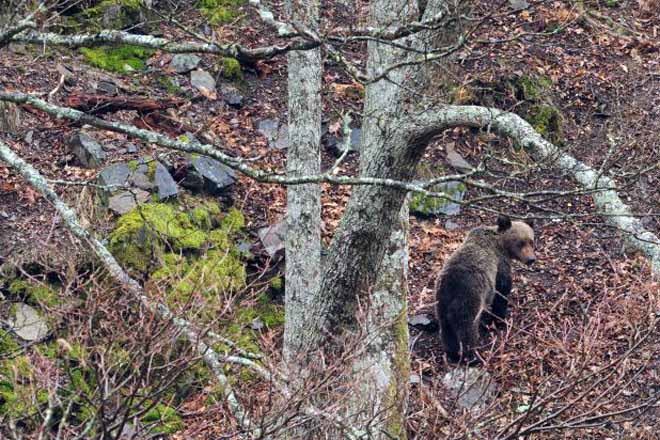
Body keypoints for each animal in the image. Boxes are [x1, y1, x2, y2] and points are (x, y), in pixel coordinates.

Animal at [436, 215, 536, 363]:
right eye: (520, 243)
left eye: (531, 241)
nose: (531, 259)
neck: (501, 244)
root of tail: (451, 283)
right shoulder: (499, 265)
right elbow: (502, 291)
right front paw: (499, 320)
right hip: (469, 297)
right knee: (467, 328)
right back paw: (472, 356)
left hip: (441, 301)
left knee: (446, 328)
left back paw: (452, 353)